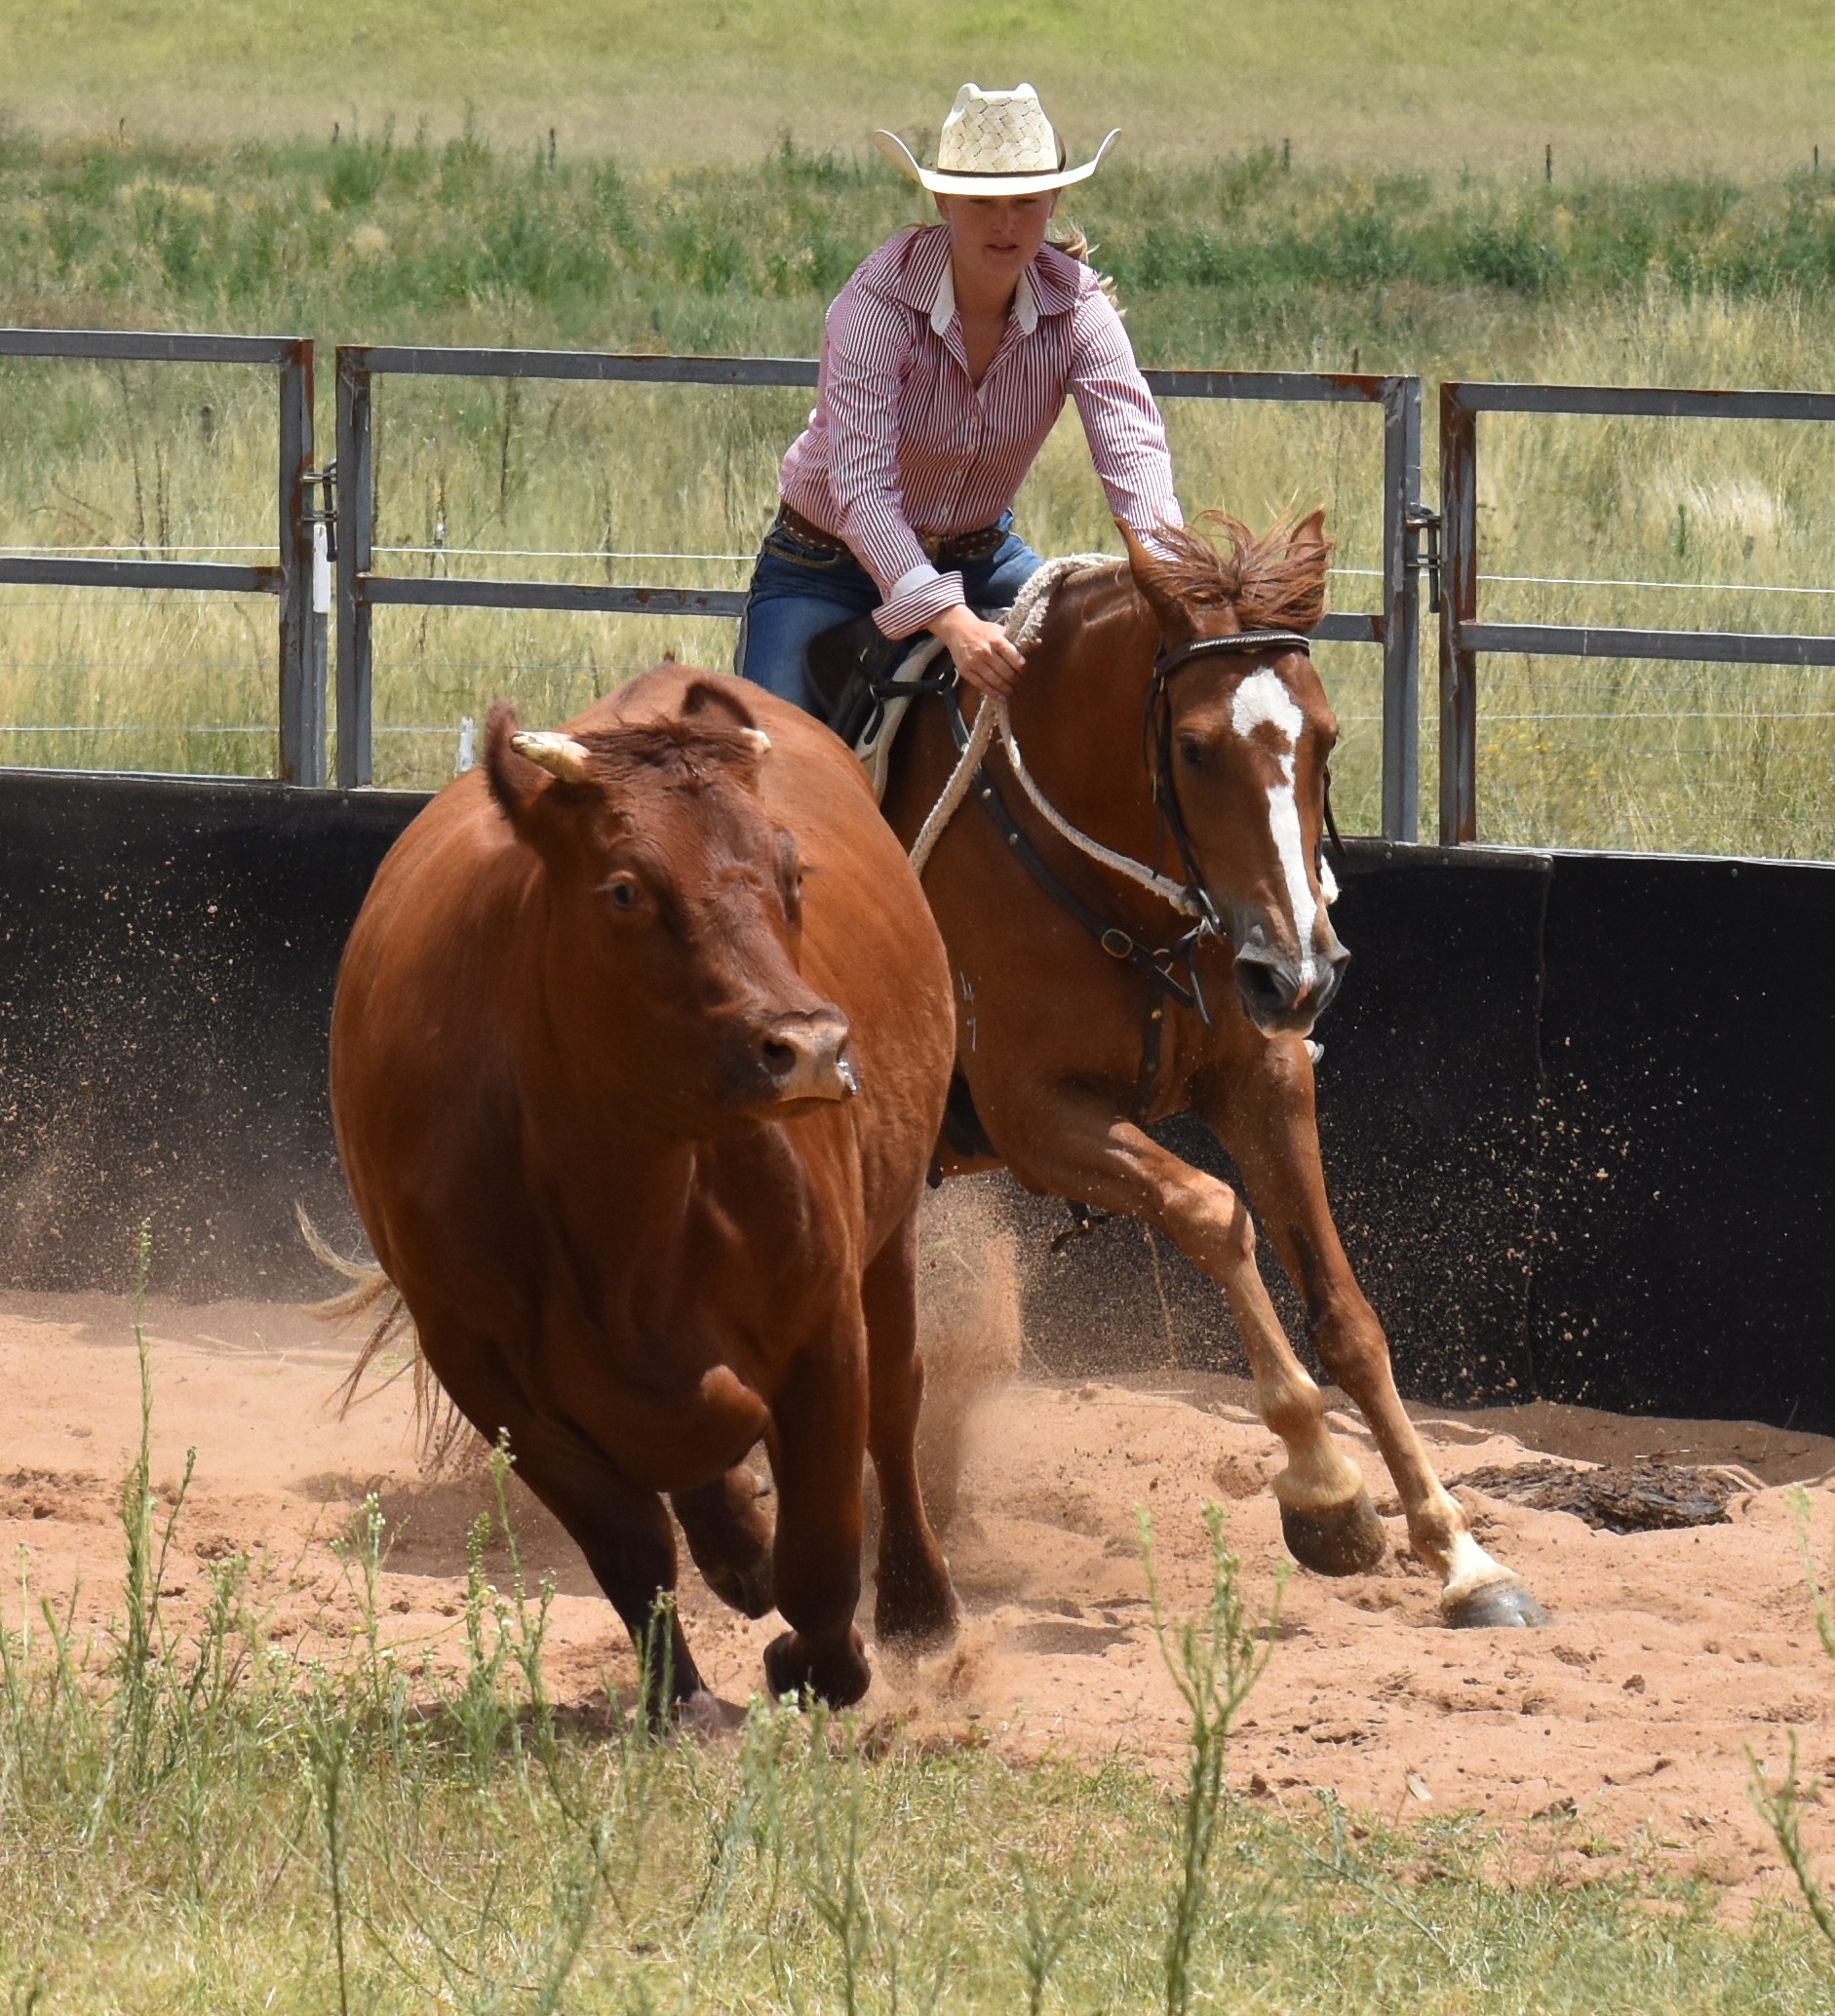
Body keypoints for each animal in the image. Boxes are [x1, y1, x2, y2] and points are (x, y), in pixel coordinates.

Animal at [329, 669, 961, 1720]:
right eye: (625, 888)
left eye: (792, 872)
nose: (809, 1047)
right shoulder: (482, 1367)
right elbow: (626, 1534)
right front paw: (681, 1695)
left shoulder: (823, 1321)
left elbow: (824, 1543)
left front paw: (818, 1661)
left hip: (892, 1237)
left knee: (896, 1408)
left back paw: (918, 1605)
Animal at [872, 512, 1549, 1629]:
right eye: (1192, 748)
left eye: (1326, 739)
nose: (1300, 971)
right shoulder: (1037, 1118)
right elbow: (1212, 1213)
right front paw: (1326, 1491)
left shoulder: (1264, 1079)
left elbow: (1347, 1315)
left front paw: (1462, 1553)